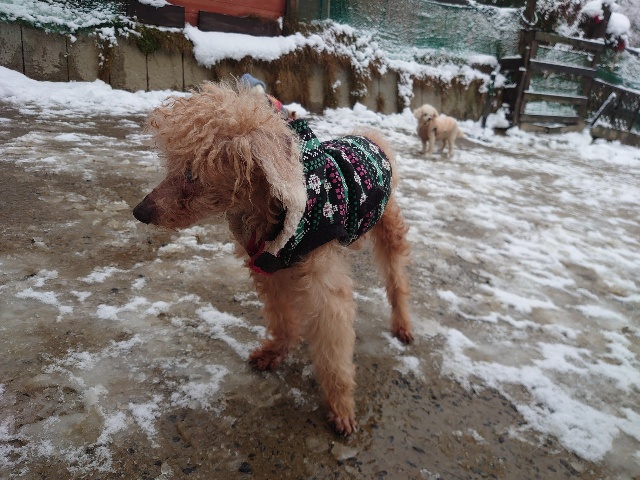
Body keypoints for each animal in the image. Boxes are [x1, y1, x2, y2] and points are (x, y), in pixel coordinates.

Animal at [132, 82, 413, 436]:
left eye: (192, 173)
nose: (139, 212)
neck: (272, 215)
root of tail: (371, 138)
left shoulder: (323, 287)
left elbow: (333, 349)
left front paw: (340, 407)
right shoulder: (270, 271)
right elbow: (282, 319)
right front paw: (275, 353)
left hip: (390, 230)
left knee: (397, 281)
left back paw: (403, 325)